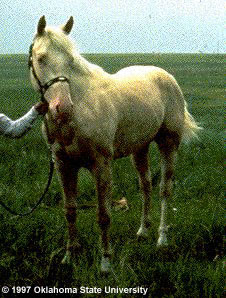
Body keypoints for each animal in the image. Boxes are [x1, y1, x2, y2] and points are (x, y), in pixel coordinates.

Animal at [28, 16, 201, 272]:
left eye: (70, 60)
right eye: (41, 58)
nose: (63, 108)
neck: (80, 110)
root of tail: (166, 77)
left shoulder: (101, 165)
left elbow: (104, 215)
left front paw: (105, 263)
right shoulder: (63, 165)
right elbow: (70, 211)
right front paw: (69, 256)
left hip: (168, 144)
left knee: (164, 189)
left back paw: (161, 238)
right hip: (139, 148)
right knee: (146, 185)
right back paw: (143, 231)